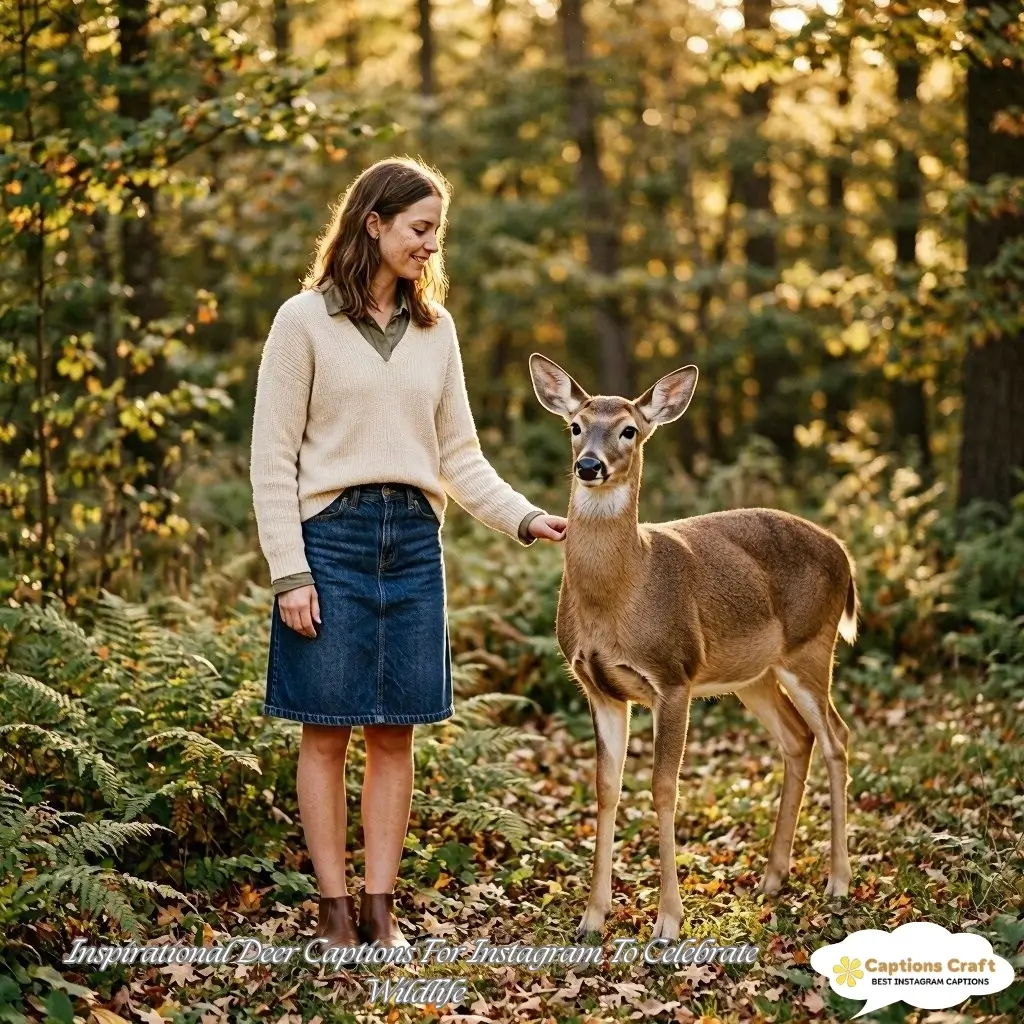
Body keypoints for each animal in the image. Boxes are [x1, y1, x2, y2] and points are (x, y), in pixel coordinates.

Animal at [528, 354, 858, 941]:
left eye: (629, 430)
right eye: (575, 426)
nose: (589, 466)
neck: (621, 594)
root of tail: (844, 552)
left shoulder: (673, 674)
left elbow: (664, 789)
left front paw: (668, 921)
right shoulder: (599, 687)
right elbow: (606, 787)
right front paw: (592, 917)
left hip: (810, 647)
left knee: (836, 737)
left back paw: (838, 881)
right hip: (754, 674)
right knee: (798, 739)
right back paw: (773, 878)